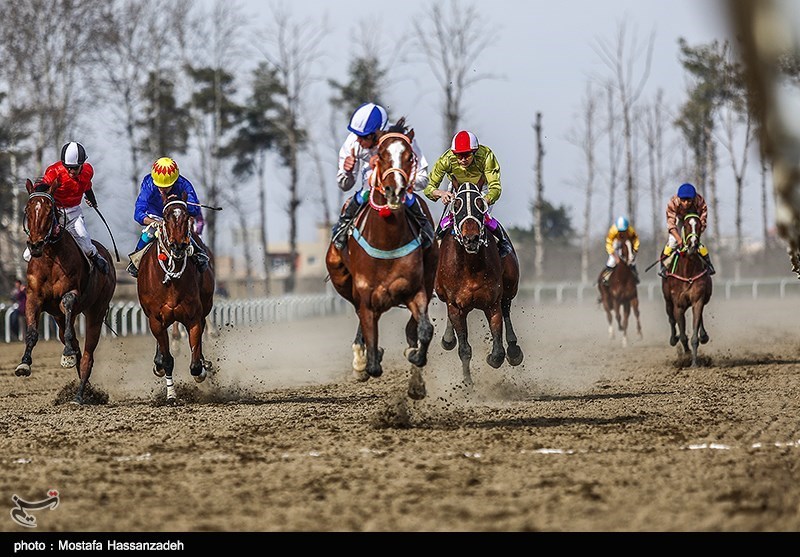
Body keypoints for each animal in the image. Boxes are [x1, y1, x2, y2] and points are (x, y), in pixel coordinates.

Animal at [15, 180, 116, 402]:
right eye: (27, 209)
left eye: (49, 211)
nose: (35, 245)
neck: (50, 258)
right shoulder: (33, 297)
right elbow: (32, 332)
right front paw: (24, 363)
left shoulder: (71, 293)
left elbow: (68, 302)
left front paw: (67, 354)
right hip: (59, 317)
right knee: (74, 343)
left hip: (96, 310)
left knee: (87, 354)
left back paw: (79, 395)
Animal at [137, 190, 216, 400]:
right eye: (165, 217)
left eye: (187, 215)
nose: (178, 246)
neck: (171, 281)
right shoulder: (156, 319)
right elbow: (167, 360)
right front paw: (171, 395)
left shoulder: (194, 316)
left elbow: (195, 362)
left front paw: (202, 369)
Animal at [324, 119, 438, 398]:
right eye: (381, 155)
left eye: (409, 157)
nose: (395, 190)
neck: (387, 241)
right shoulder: (366, 296)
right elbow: (373, 358)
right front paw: (364, 361)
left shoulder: (415, 290)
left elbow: (425, 331)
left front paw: (414, 359)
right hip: (340, 276)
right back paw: (360, 358)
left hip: (430, 273)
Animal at [434, 182, 520, 386]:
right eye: (456, 205)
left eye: (481, 204)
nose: (471, 238)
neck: (470, 265)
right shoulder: (455, 306)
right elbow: (464, 349)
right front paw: (467, 383)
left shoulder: (492, 303)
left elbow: (498, 353)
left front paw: (493, 357)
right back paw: (448, 339)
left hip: (510, 286)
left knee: (507, 308)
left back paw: (514, 350)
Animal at [664, 212, 712, 364]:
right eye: (685, 225)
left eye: (699, 225)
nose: (693, 244)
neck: (688, 271)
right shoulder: (678, 305)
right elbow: (683, 335)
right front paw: (686, 355)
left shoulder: (698, 300)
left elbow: (694, 334)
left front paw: (694, 363)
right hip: (667, 300)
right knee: (671, 318)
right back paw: (673, 338)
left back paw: (704, 335)